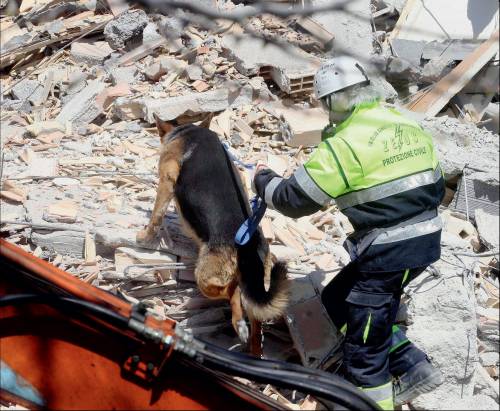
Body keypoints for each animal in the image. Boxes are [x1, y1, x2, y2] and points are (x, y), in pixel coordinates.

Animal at [136, 117, 290, 356]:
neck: (189, 132)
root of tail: (249, 246)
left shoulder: (167, 177)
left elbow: (156, 215)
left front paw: (145, 237)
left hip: (204, 278)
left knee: (234, 291)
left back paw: (239, 324)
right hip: (254, 285)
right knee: (255, 321)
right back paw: (254, 352)